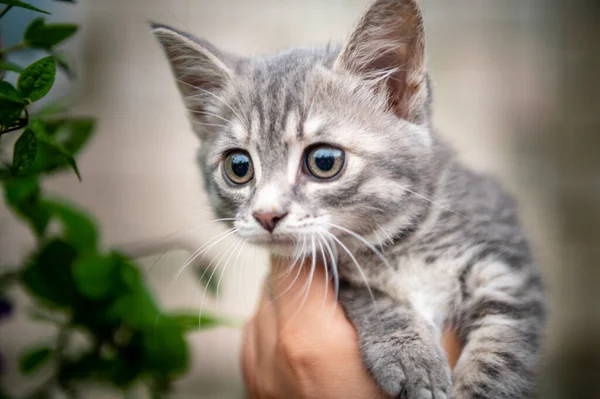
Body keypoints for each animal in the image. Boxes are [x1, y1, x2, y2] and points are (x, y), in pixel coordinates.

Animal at [152, 1, 548, 398]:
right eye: (238, 166)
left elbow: (500, 351)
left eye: (324, 161)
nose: (266, 215)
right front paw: (408, 353)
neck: (400, 245)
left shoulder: (508, 264)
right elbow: (368, 294)